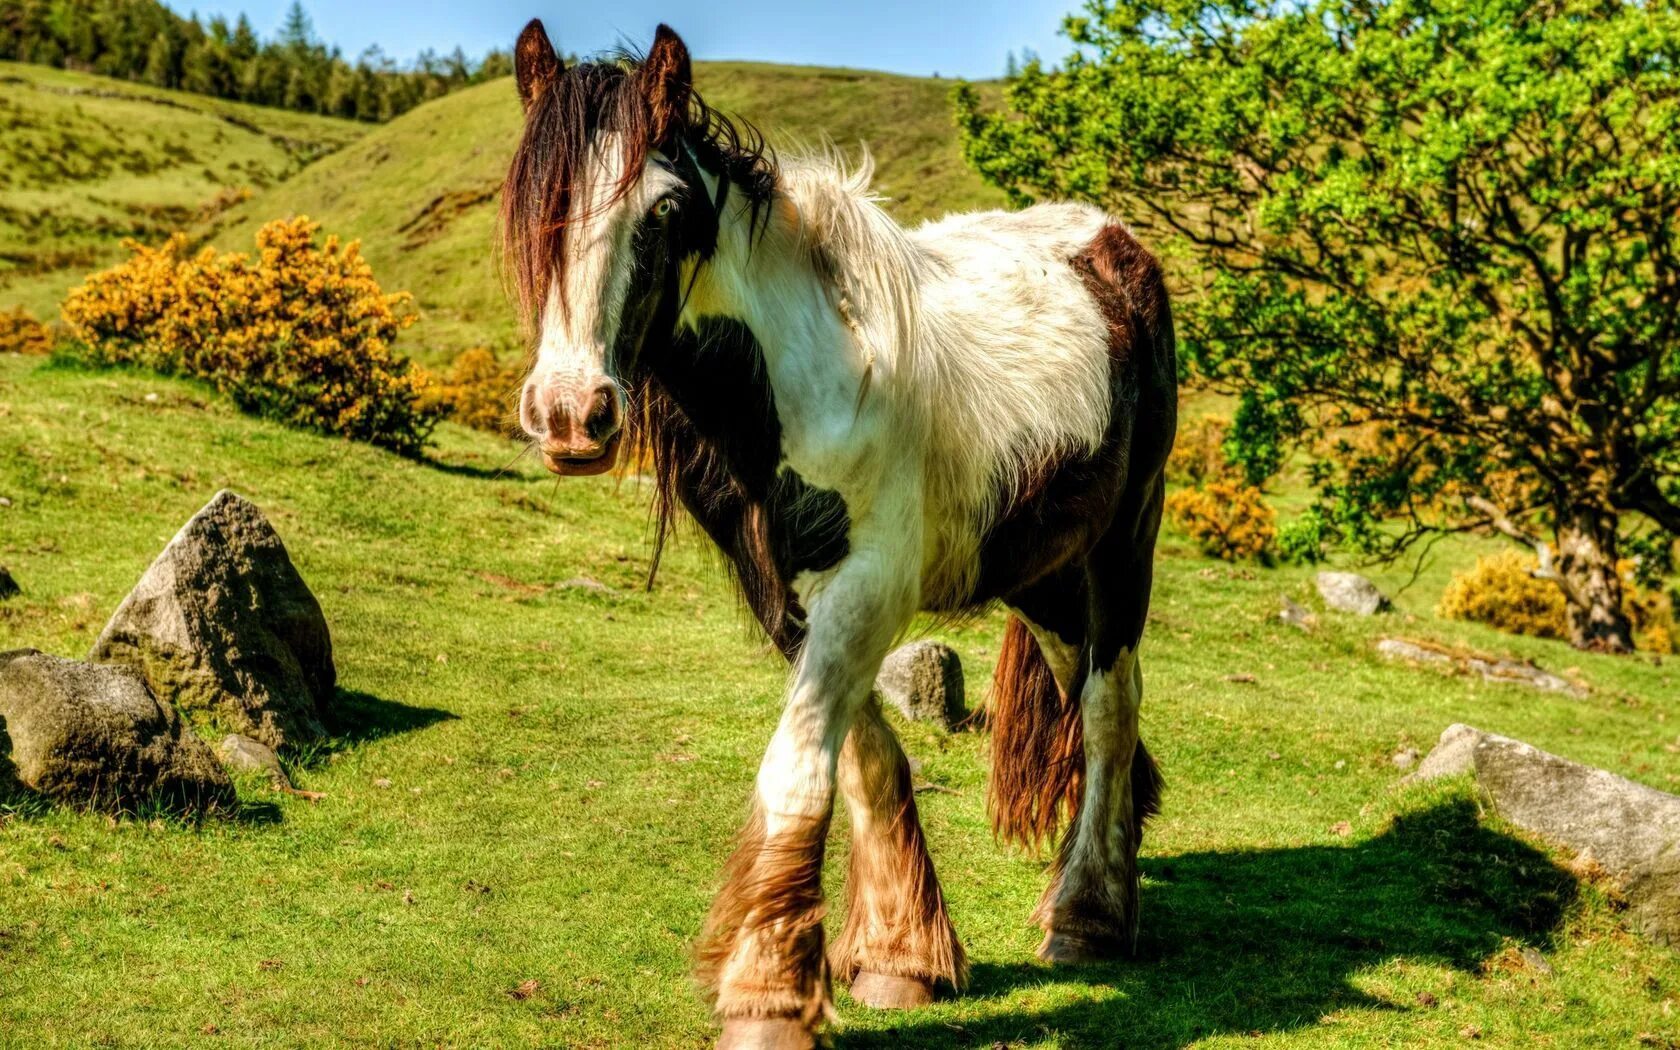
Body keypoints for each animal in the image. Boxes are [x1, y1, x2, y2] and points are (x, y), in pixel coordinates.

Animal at [500, 20, 1169, 1041]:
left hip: (1122, 546)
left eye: (664, 208)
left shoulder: (868, 587)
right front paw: (899, 956)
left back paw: (1088, 917)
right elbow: (863, 758)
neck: (804, 377)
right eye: (538, 199)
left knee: (1107, 704)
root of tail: (1112, 240)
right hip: (1042, 572)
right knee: (1080, 695)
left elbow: (799, 768)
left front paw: (768, 995)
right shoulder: (788, 595)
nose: (572, 414)